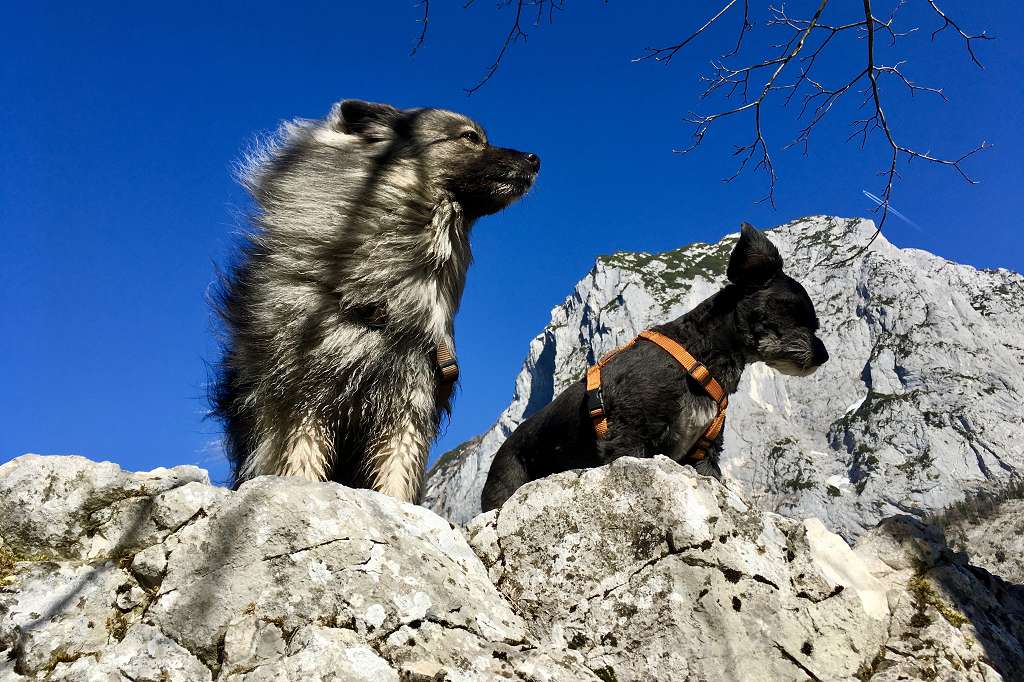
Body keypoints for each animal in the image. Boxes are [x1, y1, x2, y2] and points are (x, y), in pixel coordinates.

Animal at [212, 98, 540, 499]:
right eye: (470, 138)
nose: (535, 158)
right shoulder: (301, 401)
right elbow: (301, 462)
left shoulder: (408, 404)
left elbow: (395, 478)